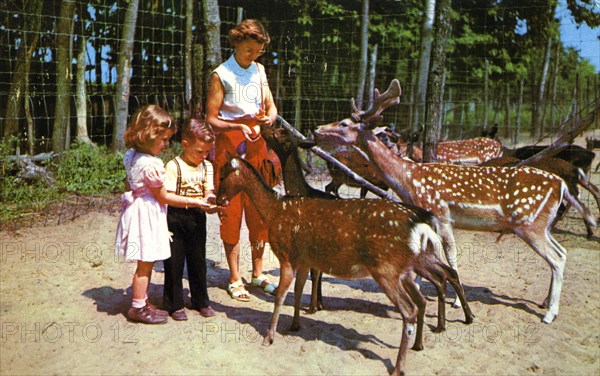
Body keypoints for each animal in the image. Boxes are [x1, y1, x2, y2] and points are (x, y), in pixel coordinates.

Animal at [216, 156, 474, 376]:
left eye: (222, 174)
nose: (217, 200)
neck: (274, 212)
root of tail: (421, 225)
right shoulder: (305, 259)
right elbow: (298, 291)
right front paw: (295, 325)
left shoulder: (286, 255)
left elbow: (280, 295)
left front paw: (268, 337)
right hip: (406, 271)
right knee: (421, 299)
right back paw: (419, 345)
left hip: (386, 270)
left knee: (410, 308)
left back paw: (398, 367)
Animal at [314, 78, 596, 324]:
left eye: (344, 123)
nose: (316, 128)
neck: (408, 179)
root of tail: (561, 185)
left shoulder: (440, 213)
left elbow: (450, 254)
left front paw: (456, 302)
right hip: (542, 224)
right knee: (562, 252)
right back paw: (545, 303)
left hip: (529, 224)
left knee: (557, 258)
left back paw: (549, 314)